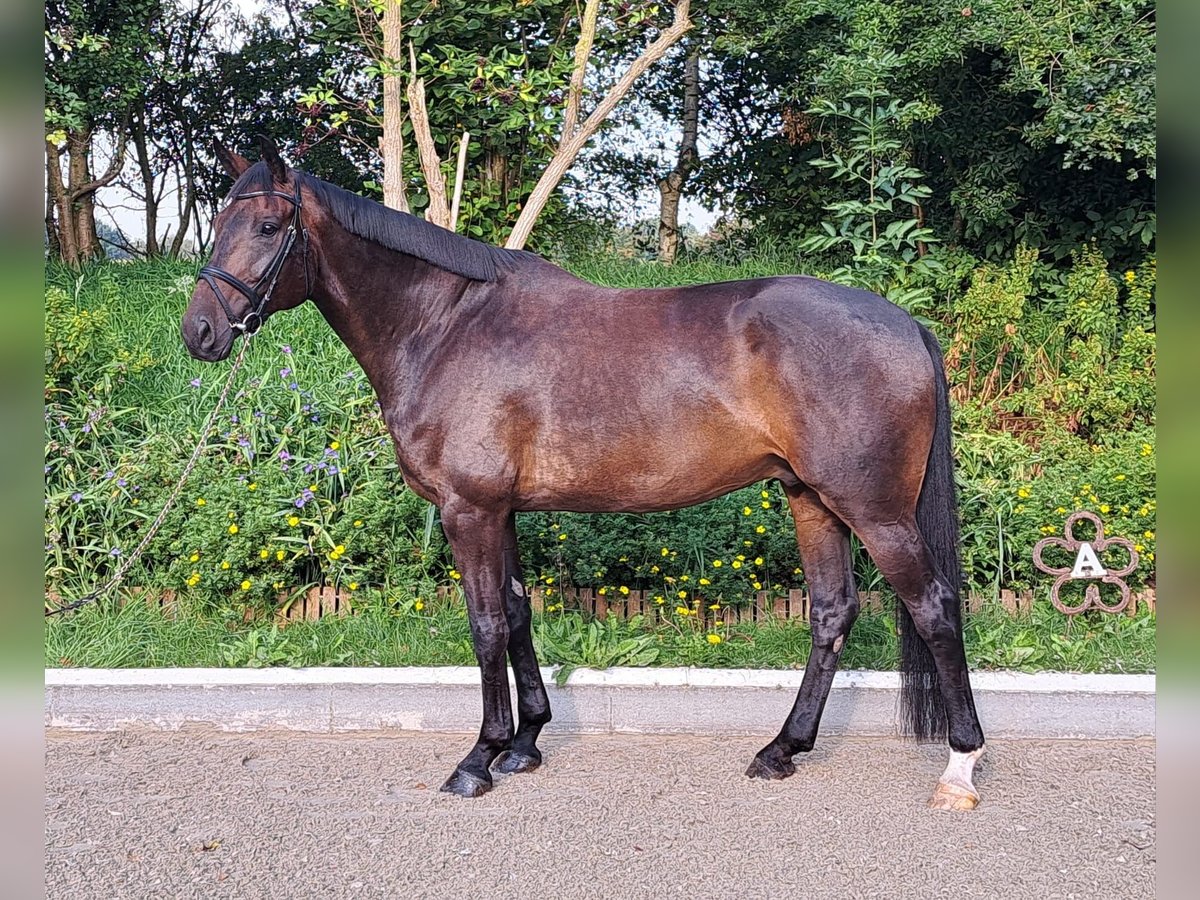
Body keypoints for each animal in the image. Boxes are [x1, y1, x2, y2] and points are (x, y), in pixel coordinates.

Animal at [180, 139, 984, 811]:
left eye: (266, 227)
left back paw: (960, 766)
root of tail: (906, 325)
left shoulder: (467, 510)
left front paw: (478, 758)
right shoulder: (499, 511)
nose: (200, 332)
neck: (447, 327)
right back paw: (782, 749)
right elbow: (517, 613)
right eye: (216, 223)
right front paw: (525, 743)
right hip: (809, 497)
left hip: (875, 511)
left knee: (935, 607)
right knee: (831, 613)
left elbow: (484, 624)